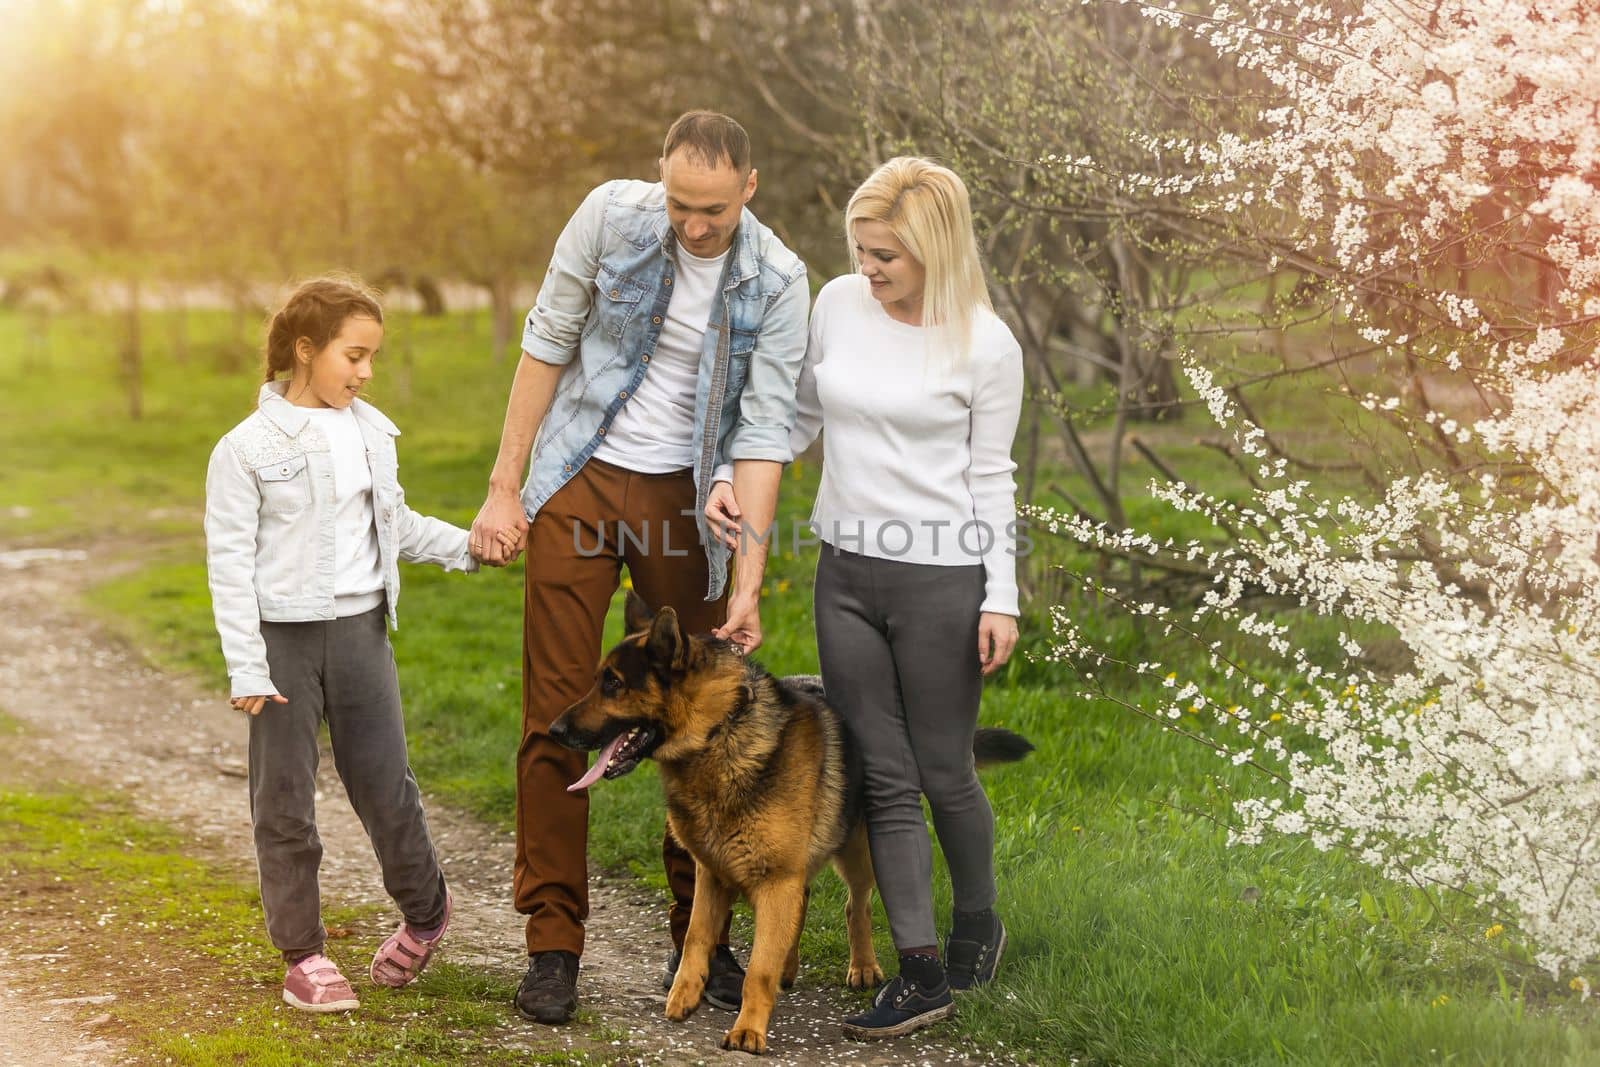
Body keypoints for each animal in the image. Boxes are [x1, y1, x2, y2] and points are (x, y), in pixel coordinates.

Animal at [544, 598, 1030, 1055]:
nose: (554, 730)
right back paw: (791, 964)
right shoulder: (713, 876)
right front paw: (686, 995)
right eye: (599, 679)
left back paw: (862, 965)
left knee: (856, 906)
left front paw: (748, 1030)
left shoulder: (776, 880)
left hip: (858, 852)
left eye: (613, 684)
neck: (721, 731)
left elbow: (757, 968)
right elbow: (698, 938)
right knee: (804, 903)